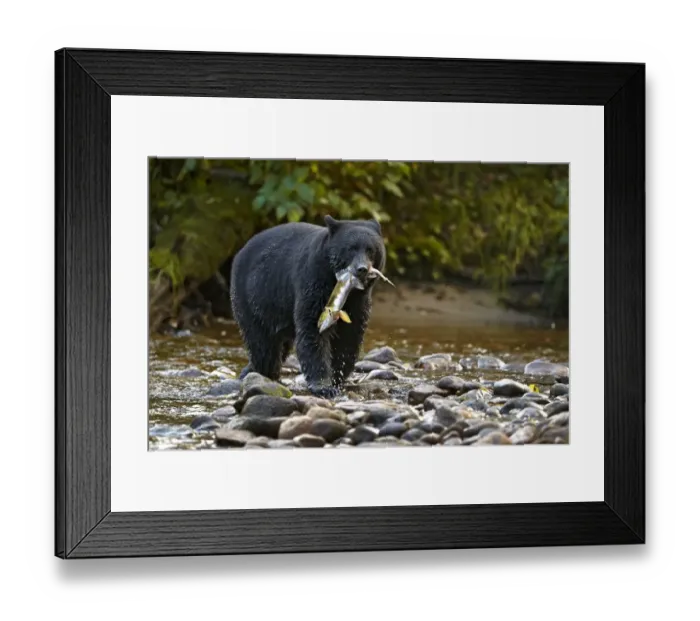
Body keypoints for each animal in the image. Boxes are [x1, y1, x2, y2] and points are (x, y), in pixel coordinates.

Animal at [230, 215, 386, 398]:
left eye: (371, 249)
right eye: (350, 248)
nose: (361, 269)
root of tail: (240, 251)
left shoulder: (359, 301)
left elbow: (349, 336)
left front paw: (338, 376)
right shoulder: (313, 282)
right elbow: (312, 330)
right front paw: (324, 386)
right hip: (252, 298)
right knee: (262, 343)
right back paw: (261, 372)